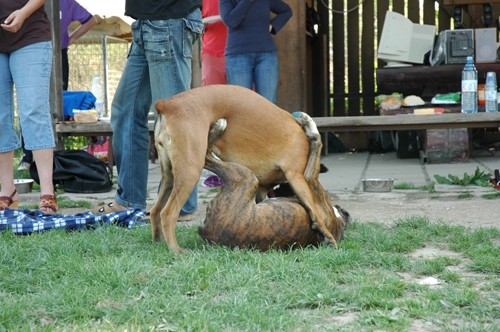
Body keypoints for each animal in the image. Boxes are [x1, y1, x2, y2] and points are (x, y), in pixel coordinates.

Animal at [197, 116, 350, 249]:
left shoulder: (310, 179)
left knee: (206, 157)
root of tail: (209, 231)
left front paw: (309, 124)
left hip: (246, 177)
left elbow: (317, 143)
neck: (337, 220)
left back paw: (218, 127)